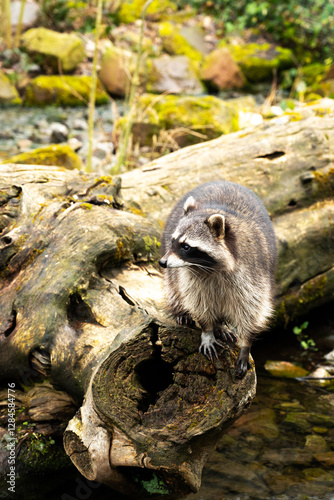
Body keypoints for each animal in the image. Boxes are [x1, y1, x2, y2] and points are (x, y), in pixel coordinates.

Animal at [159, 182, 276, 376]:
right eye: (173, 241)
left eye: (186, 246)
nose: (162, 262)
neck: (210, 268)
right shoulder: (191, 277)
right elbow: (199, 302)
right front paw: (208, 330)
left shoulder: (253, 275)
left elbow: (251, 308)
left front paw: (246, 343)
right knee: (174, 286)